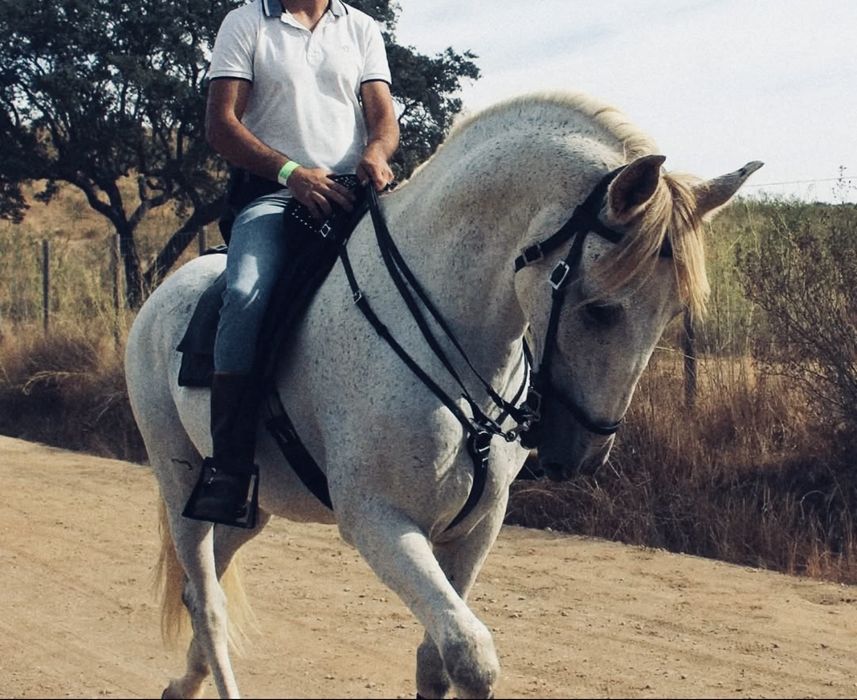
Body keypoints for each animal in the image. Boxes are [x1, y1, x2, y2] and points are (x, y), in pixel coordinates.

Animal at [125, 90, 762, 698]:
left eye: (673, 314)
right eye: (600, 309)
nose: (581, 457)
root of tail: (161, 296)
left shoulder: (475, 528)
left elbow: (436, 663)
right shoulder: (379, 521)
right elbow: (470, 655)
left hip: (251, 507)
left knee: (206, 588)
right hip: (182, 483)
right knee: (205, 600)